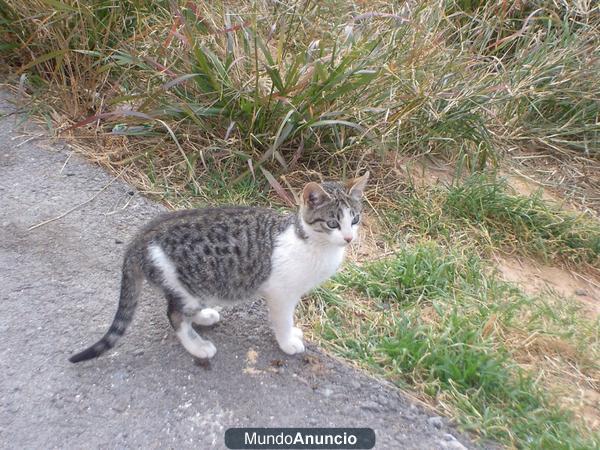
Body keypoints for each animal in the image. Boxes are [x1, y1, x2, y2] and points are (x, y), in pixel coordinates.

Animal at [70, 171, 370, 364]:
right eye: (332, 223)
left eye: (355, 219)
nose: (348, 238)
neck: (312, 242)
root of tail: (141, 237)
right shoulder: (281, 293)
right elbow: (282, 320)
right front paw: (288, 342)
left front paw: (293, 333)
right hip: (188, 283)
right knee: (175, 315)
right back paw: (197, 346)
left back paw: (204, 317)